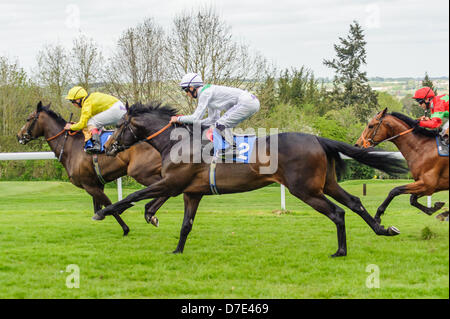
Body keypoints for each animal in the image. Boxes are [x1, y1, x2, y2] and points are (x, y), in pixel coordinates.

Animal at [16, 101, 169, 236]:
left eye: (28, 119)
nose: (19, 136)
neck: (71, 147)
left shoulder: (89, 185)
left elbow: (108, 205)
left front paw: (125, 228)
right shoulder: (98, 183)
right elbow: (101, 205)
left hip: (141, 172)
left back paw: (149, 213)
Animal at [96, 102, 410, 258]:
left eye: (120, 125)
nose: (108, 146)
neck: (179, 142)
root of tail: (317, 139)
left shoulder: (172, 183)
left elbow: (133, 196)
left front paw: (104, 211)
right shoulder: (189, 191)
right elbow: (185, 224)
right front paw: (176, 249)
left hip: (305, 189)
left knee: (337, 212)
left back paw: (341, 251)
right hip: (326, 183)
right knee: (354, 202)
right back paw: (384, 229)